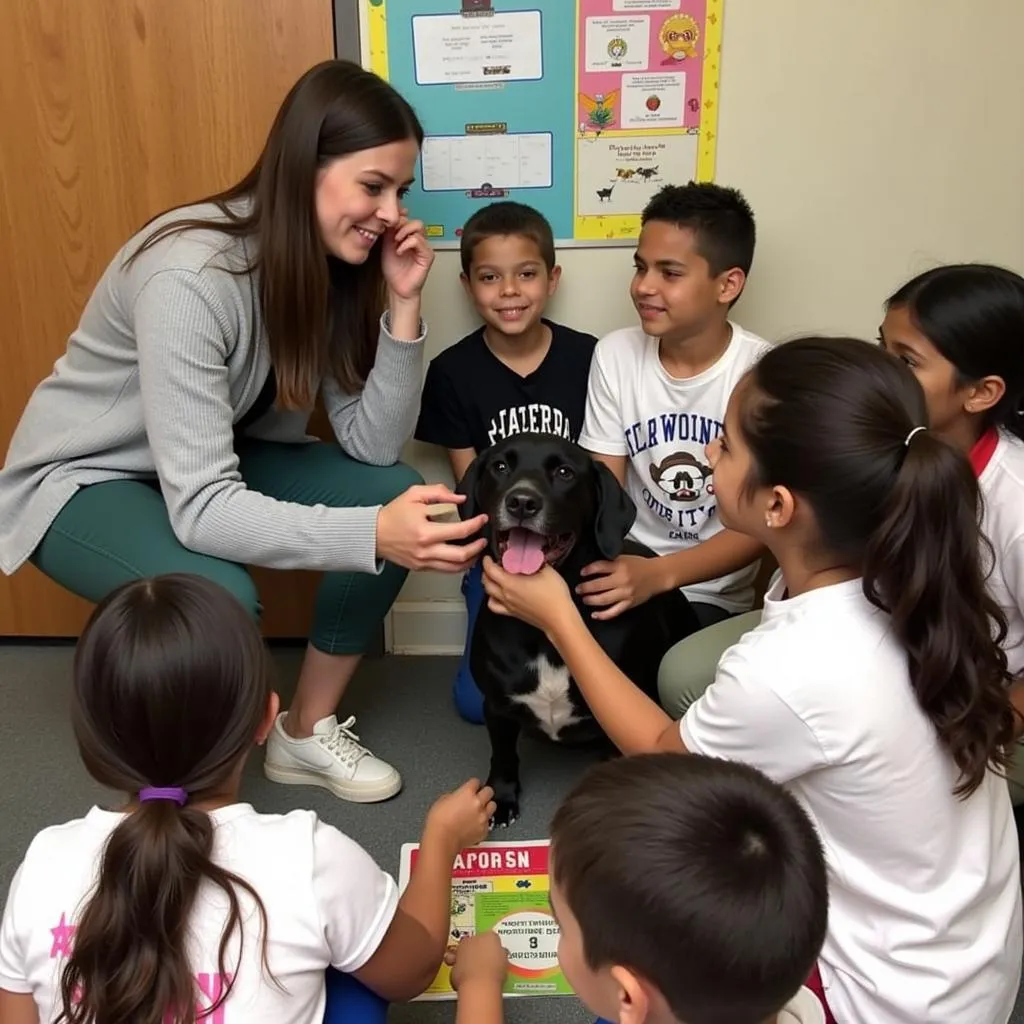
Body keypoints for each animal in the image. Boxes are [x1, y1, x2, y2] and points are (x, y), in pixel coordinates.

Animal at [460, 432, 700, 823]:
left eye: (564, 472)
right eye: (500, 466)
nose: (522, 502)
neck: (544, 633)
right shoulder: (496, 705)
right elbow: (504, 755)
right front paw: (502, 797)